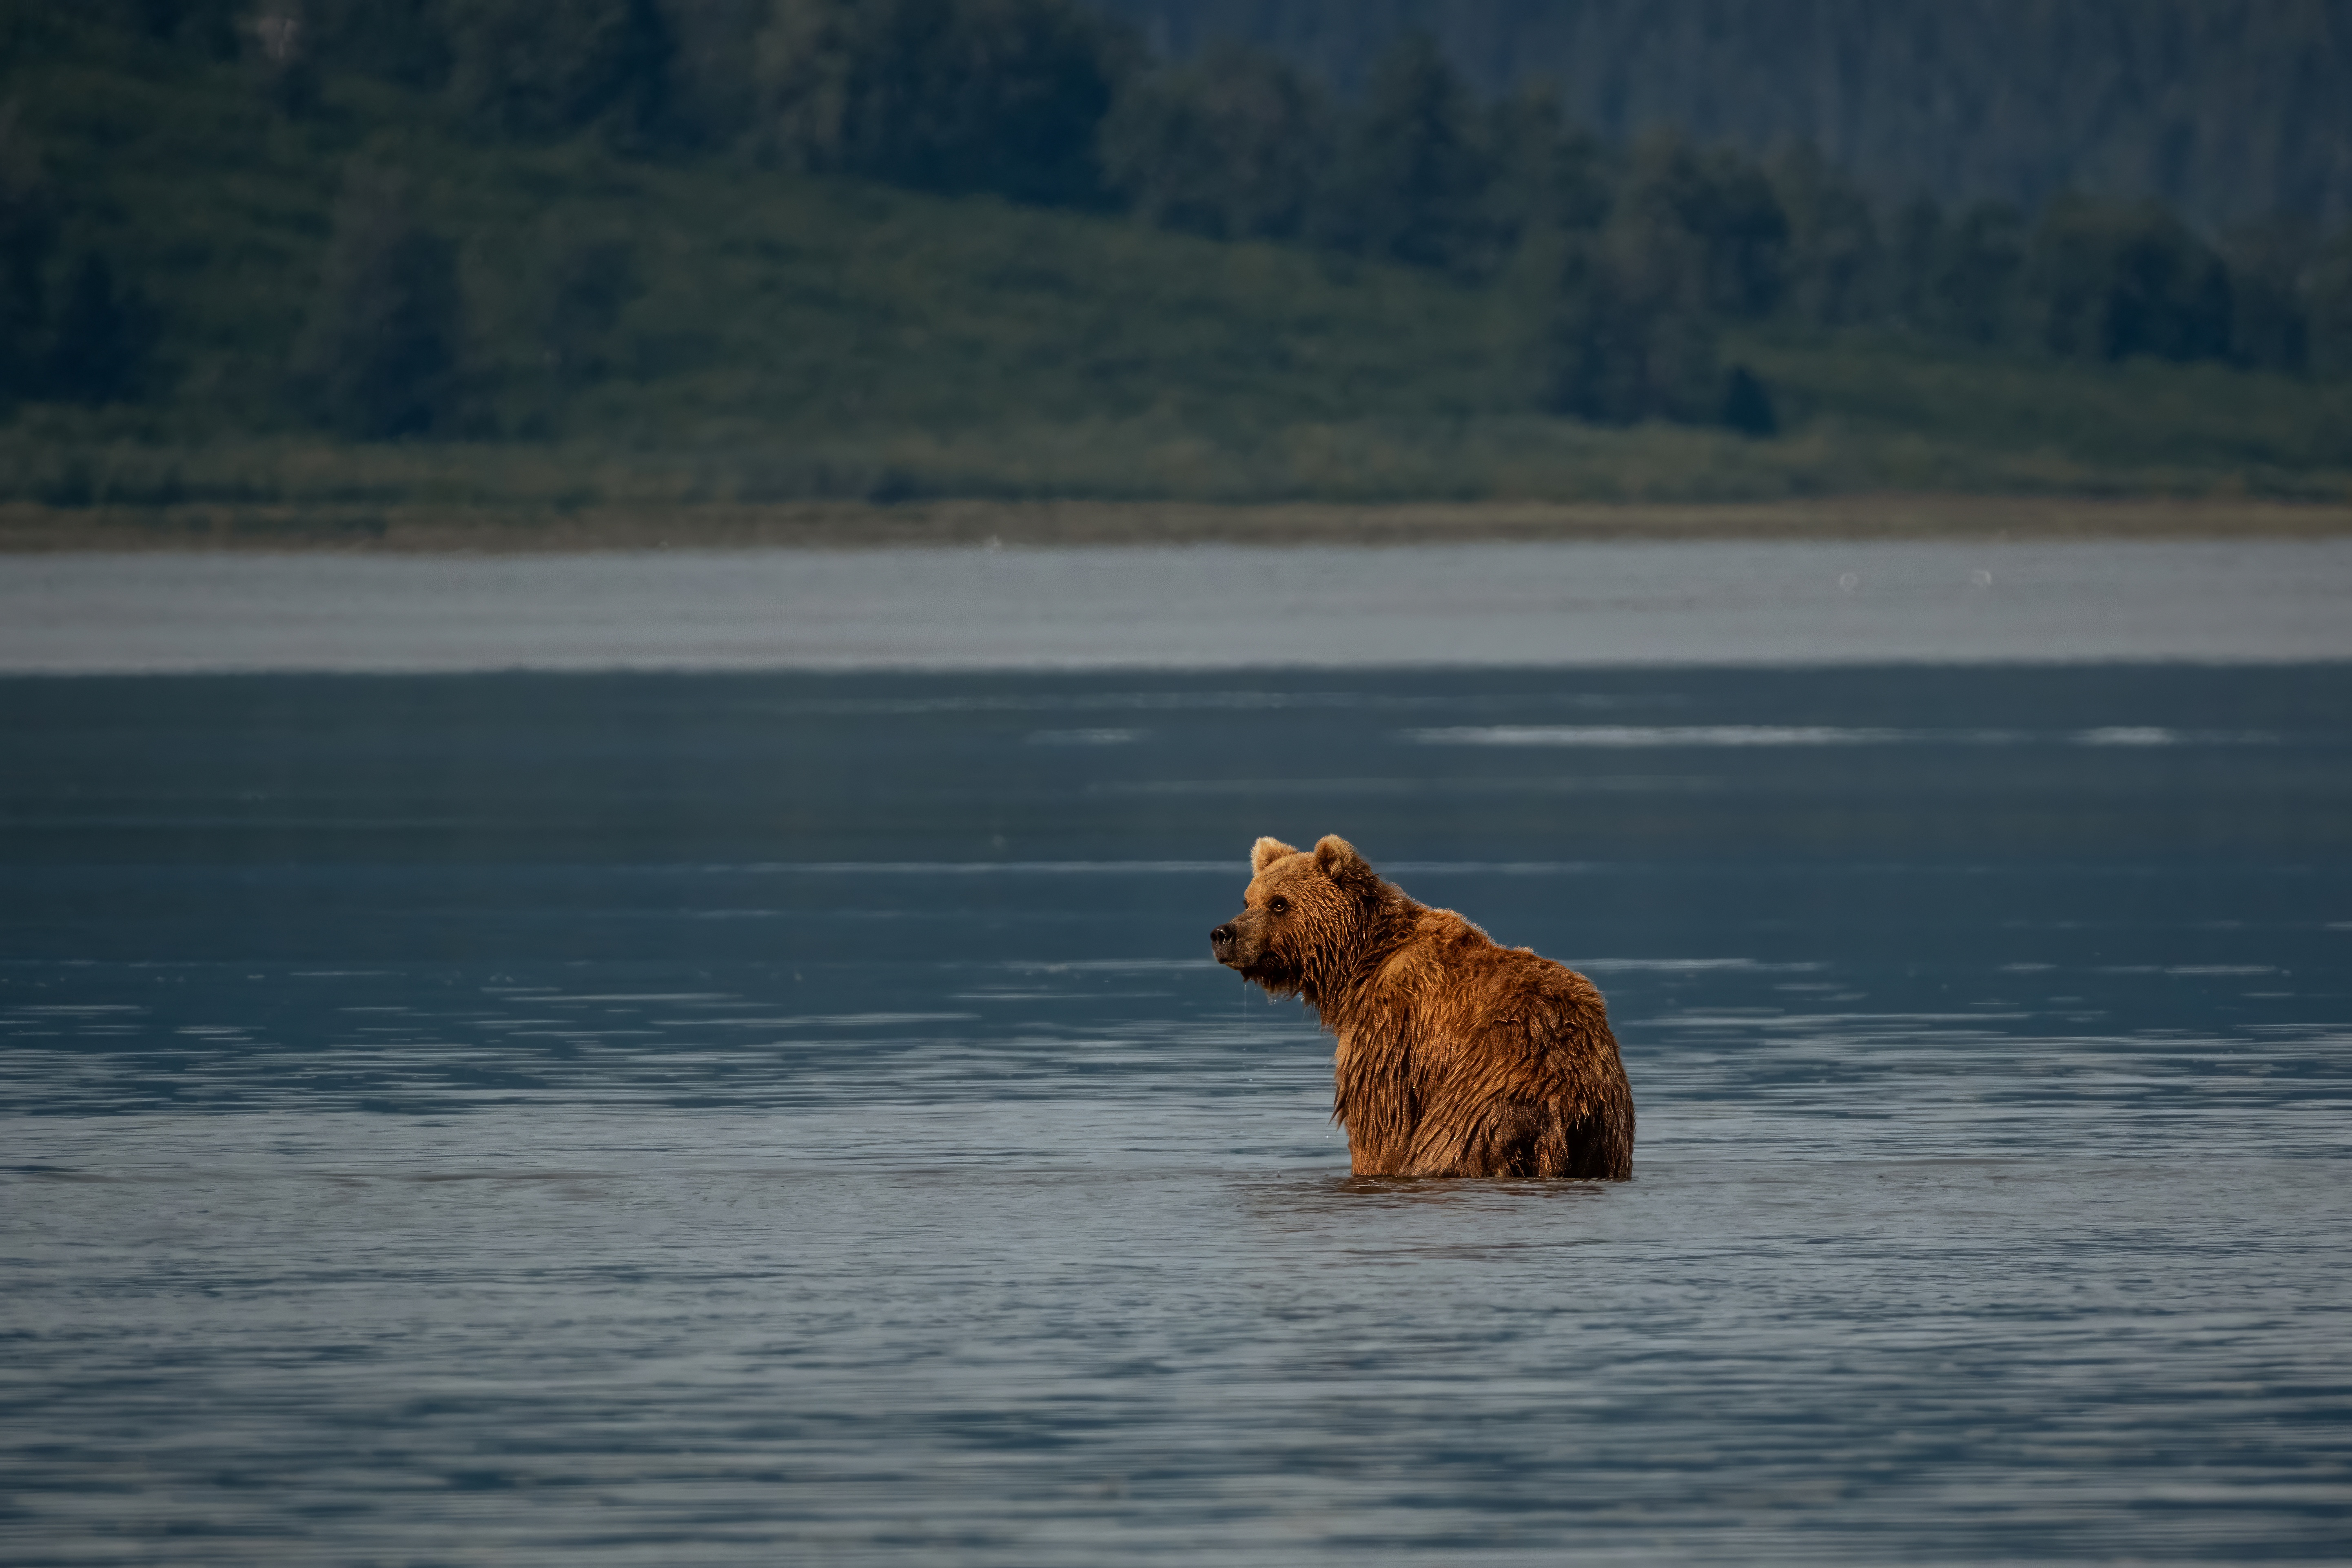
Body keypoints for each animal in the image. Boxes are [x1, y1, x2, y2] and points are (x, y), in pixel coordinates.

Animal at [1210, 834, 1634, 1179]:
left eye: (1279, 903)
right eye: (1247, 899)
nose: (1223, 934)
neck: (1358, 966)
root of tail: (1567, 1099)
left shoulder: (1392, 1029)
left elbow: (1380, 1122)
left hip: (1486, 1096)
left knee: (1445, 1146)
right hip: (1605, 1127)